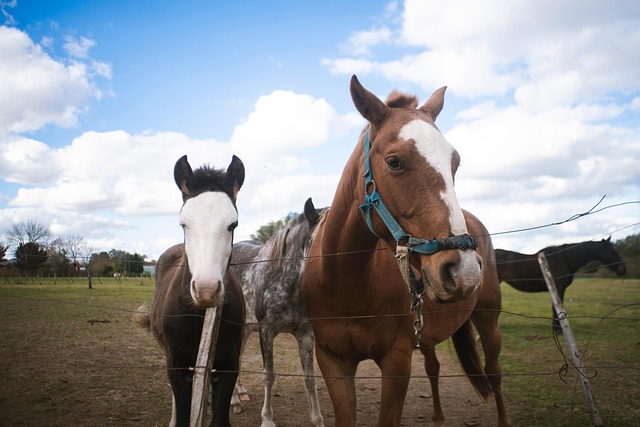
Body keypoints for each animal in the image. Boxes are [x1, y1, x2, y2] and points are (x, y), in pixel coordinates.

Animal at [146, 154, 246, 427]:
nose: (206, 290)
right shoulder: (176, 365)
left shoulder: (229, 366)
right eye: (184, 223)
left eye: (233, 224)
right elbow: (182, 413)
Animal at [230, 197, 325, 427]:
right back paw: (235, 400)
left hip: (246, 330)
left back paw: (239, 394)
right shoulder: (267, 332)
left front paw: (317, 419)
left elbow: (310, 378)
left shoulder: (305, 334)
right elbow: (269, 375)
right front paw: (267, 419)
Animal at [301, 75, 511, 426]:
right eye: (394, 162)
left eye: (455, 163)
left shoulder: (396, 363)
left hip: (488, 321)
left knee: (494, 374)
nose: (464, 270)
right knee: (434, 368)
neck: (348, 282)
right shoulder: (333, 362)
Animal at [495, 237, 627, 333]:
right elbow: (557, 308)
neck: (565, 259)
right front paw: (558, 330)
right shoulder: (559, 288)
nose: (623, 269)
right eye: (612, 251)